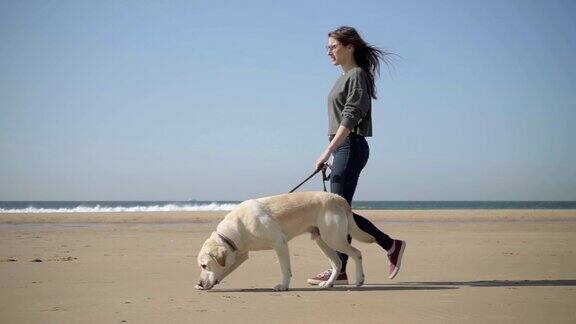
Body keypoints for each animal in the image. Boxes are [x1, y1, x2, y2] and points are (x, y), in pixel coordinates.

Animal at [196, 190, 376, 292]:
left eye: (204, 265)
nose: (199, 282)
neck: (238, 227)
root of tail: (339, 198)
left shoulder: (280, 243)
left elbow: (285, 269)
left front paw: (283, 286)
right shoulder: (239, 255)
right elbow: (225, 269)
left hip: (333, 238)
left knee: (357, 253)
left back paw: (359, 279)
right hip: (322, 240)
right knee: (337, 263)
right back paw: (328, 283)